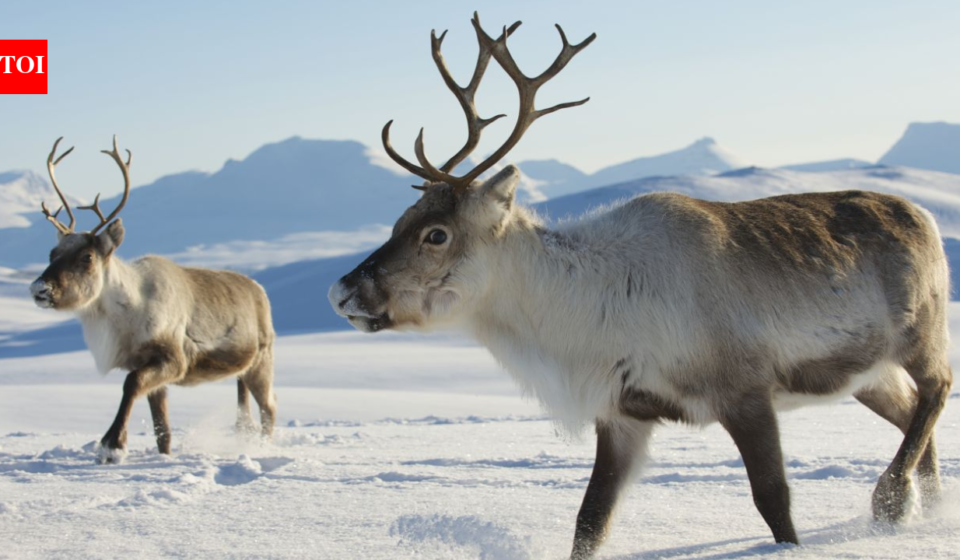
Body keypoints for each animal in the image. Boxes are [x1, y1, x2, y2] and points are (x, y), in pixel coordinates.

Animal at [30, 136, 277, 465]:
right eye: (52, 253)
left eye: (87, 256)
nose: (39, 288)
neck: (127, 315)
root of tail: (259, 290)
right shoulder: (147, 366)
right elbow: (163, 429)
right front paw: (160, 455)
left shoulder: (173, 359)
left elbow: (130, 384)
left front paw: (112, 445)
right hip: (244, 370)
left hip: (262, 360)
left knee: (270, 408)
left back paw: (261, 449)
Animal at [328, 13, 953, 559]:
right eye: (398, 221)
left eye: (436, 234)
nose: (341, 291)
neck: (584, 313)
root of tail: (923, 213)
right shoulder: (623, 412)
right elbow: (590, 520)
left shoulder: (743, 390)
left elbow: (774, 501)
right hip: (865, 373)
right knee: (911, 414)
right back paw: (929, 508)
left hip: (921, 332)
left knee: (937, 389)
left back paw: (892, 501)